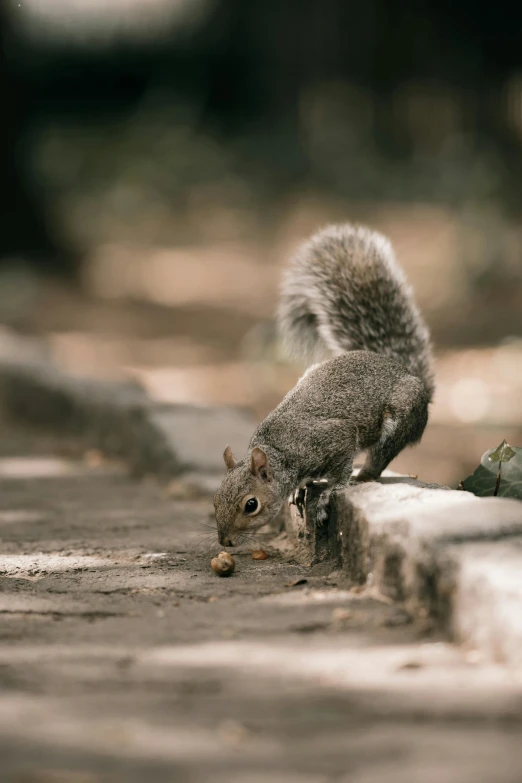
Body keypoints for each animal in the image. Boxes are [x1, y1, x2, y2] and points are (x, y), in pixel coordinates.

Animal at [211, 224, 430, 548]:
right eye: (215, 499)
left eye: (251, 505)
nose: (224, 542)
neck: (280, 451)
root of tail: (406, 372)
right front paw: (297, 491)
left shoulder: (333, 438)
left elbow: (341, 465)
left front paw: (331, 490)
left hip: (401, 412)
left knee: (382, 454)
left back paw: (363, 475)